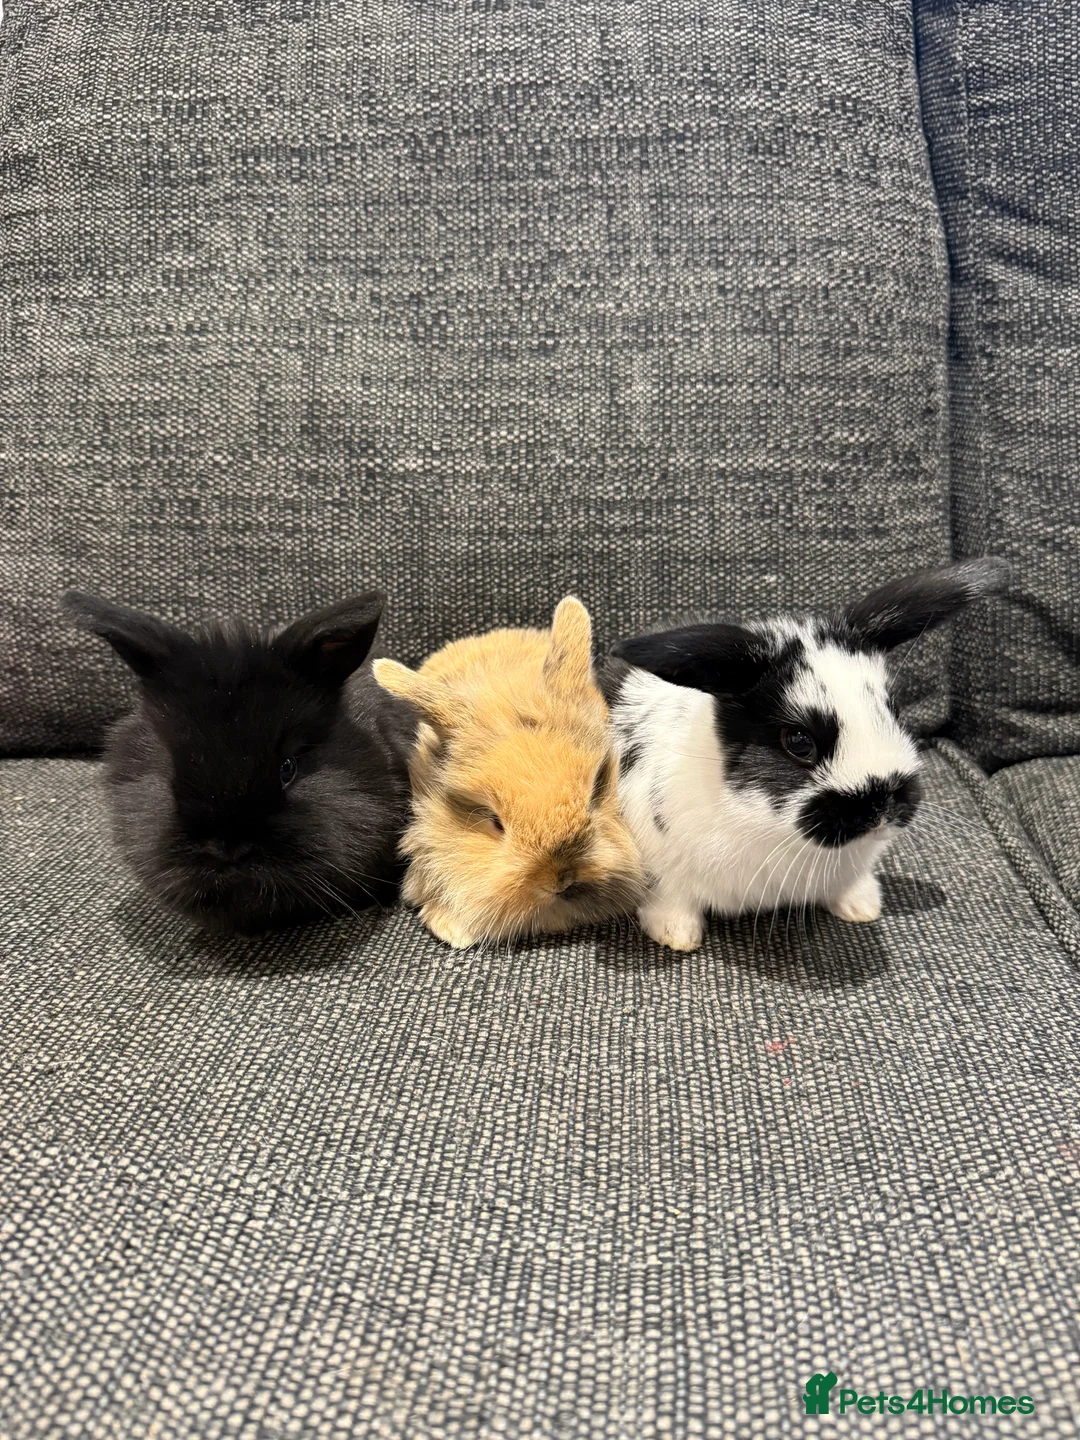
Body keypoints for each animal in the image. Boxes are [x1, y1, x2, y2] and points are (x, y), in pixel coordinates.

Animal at [604, 558, 1010, 951]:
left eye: (892, 710)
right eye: (798, 741)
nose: (881, 807)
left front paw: (862, 907)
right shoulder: (663, 867)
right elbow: (672, 900)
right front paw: (676, 936)